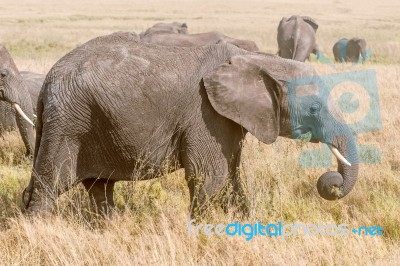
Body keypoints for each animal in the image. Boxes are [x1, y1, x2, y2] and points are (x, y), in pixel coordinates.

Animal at [22, 31, 360, 218]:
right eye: (314, 108)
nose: (330, 182)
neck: (255, 60)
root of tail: (47, 82)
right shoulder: (205, 115)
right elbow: (211, 176)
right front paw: (200, 230)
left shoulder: (226, 118)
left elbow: (232, 175)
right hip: (69, 123)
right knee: (50, 185)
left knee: (99, 188)